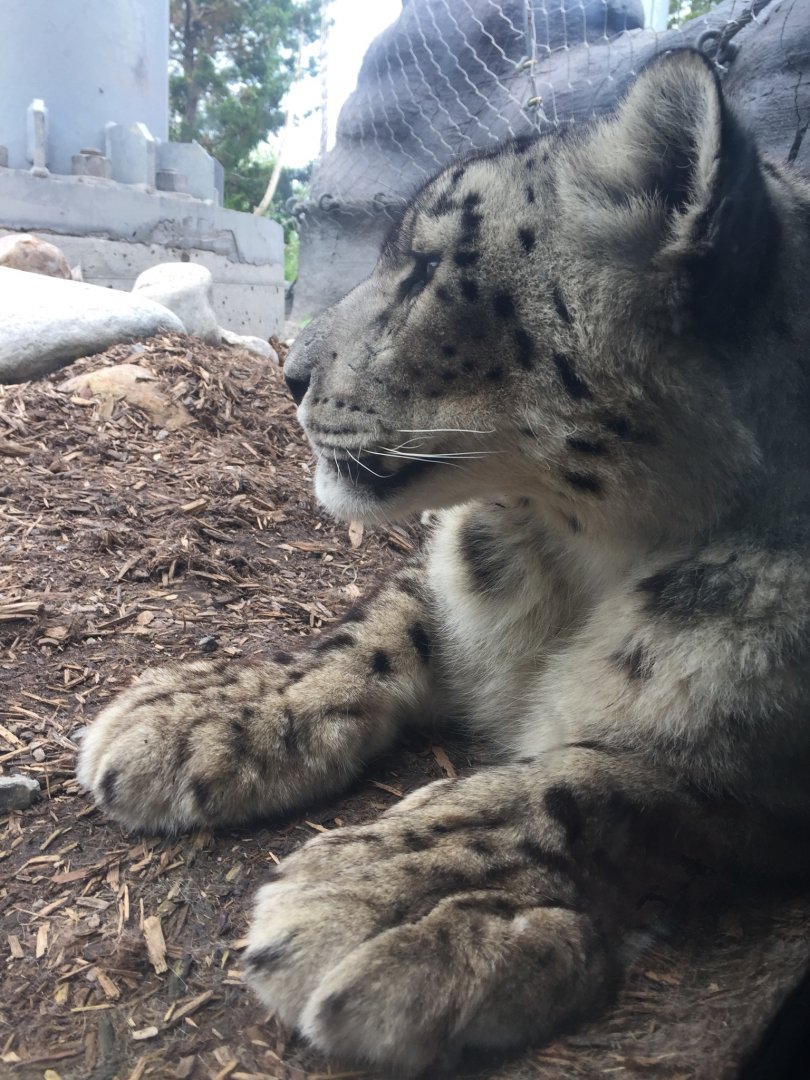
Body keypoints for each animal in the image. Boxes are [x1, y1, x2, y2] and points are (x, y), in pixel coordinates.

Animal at [78, 49, 810, 1075]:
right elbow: (380, 624)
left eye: (429, 268)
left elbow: (601, 780)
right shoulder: (457, 573)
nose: (289, 374)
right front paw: (204, 712)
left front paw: (385, 897)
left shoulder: (763, 764)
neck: (582, 564)